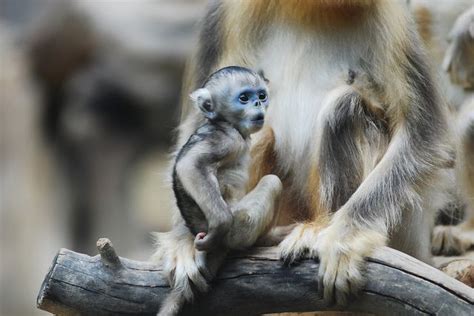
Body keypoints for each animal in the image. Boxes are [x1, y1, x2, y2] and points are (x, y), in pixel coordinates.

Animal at [172, 66, 282, 252]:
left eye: (262, 96)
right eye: (244, 98)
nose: (258, 103)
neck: (224, 122)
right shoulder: (229, 139)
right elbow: (190, 164)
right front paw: (219, 225)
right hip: (240, 227)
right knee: (272, 181)